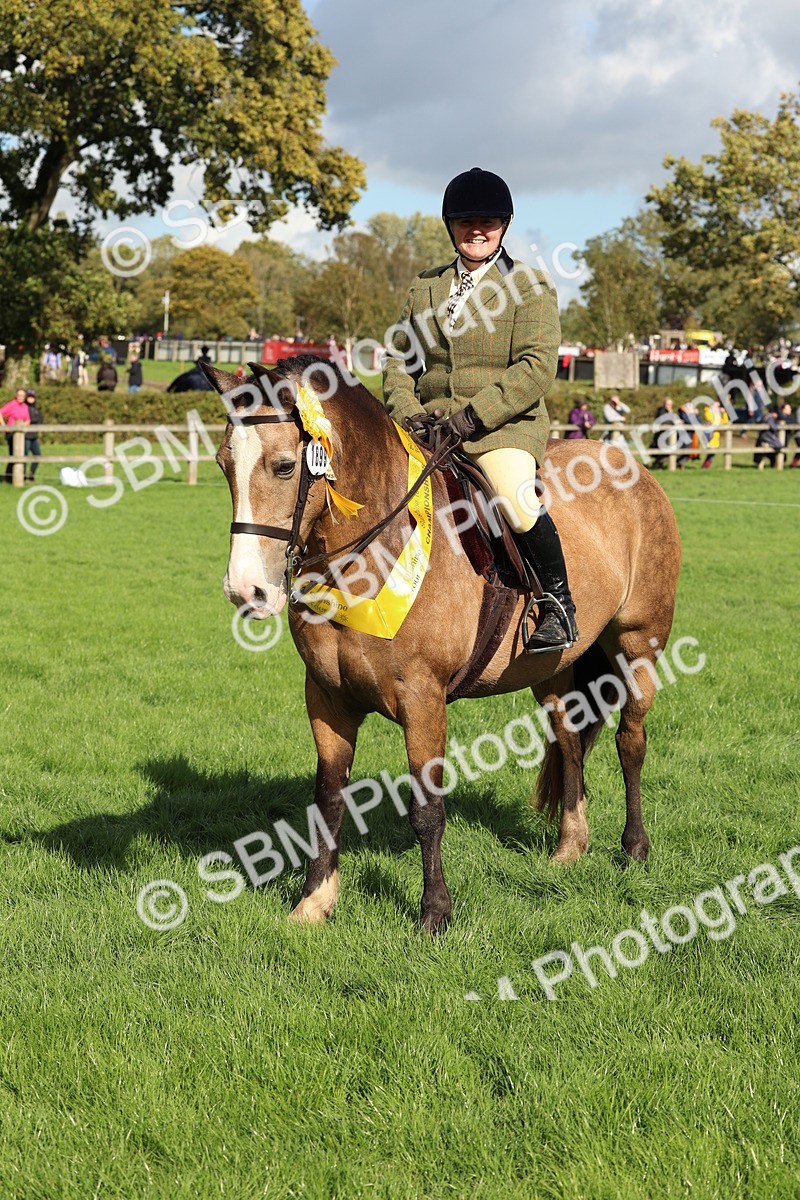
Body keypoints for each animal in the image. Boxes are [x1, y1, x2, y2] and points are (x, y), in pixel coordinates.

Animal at [205, 356, 682, 934]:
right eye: (224, 464)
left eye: (281, 467)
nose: (245, 590)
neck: (369, 555)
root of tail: (628, 464)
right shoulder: (326, 698)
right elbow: (327, 801)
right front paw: (314, 902)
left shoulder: (423, 700)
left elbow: (427, 810)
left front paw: (435, 912)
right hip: (552, 667)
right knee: (569, 742)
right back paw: (570, 848)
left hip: (638, 645)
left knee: (630, 742)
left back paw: (634, 847)